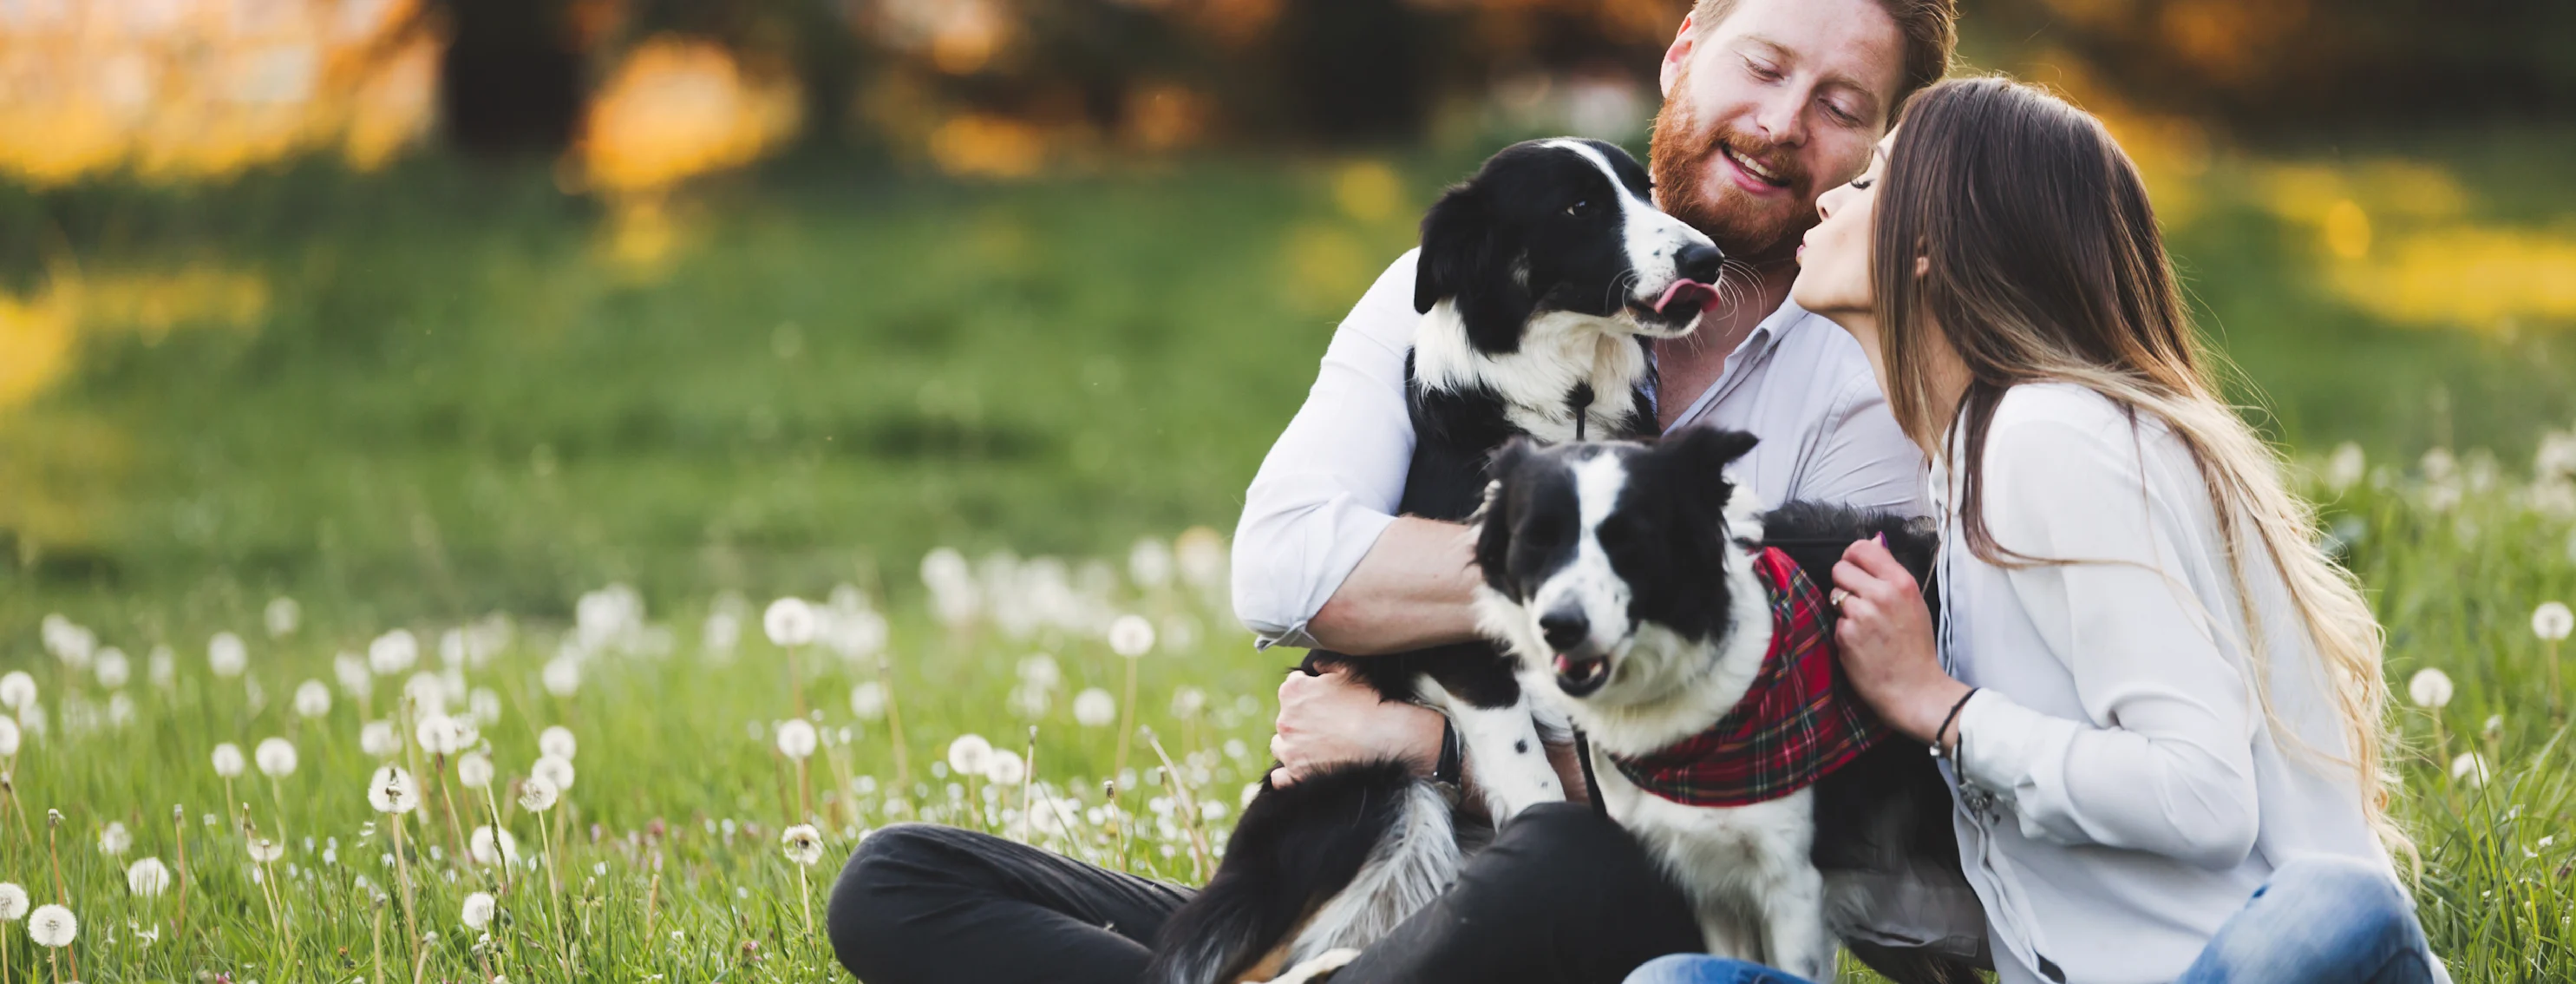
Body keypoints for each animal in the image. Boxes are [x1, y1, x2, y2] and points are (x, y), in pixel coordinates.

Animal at [1154, 138, 1730, 984]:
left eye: (1646, 189)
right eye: (1578, 207)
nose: (1707, 259)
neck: (1567, 400)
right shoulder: (1457, 646)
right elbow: (1531, 774)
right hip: (1365, 794)